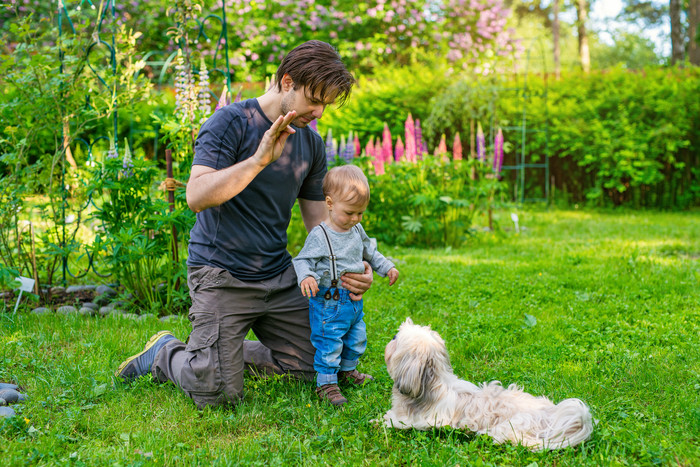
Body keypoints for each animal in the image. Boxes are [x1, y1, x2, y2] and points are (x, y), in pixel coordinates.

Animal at [380, 320, 592, 452]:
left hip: (511, 428)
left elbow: (391, 421)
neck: (432, 383)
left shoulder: (413, 421)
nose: (392, 336)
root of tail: (552, 416)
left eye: (397, 340)